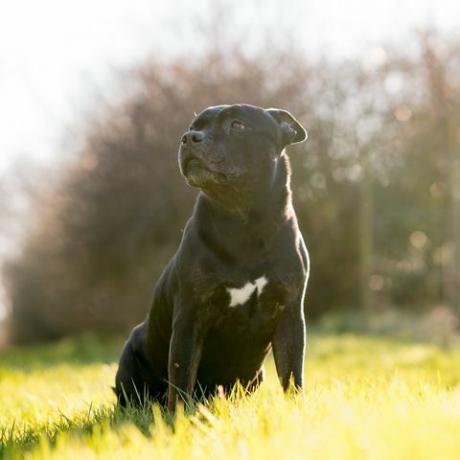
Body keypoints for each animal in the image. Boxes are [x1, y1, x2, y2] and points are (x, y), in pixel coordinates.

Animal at [114, 103, 310, 410]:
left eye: (238, 125)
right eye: (193, 126)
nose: (189, 138)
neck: (243, 221)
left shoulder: (289, 315)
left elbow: (292, 375)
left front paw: (296, 409)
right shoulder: (190, 317)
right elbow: (181, 376)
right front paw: (179, 417)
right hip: (131, 356)